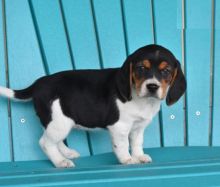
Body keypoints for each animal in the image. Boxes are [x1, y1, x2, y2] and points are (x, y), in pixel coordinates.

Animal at [0, 44, 186, 168]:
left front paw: (139, 156)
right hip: (60, 122)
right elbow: (122, 145)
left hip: (57, 122)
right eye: (141, 68)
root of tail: (38, 84)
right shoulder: (120, 127)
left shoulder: (138, 127)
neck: (142, 100)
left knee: (53, 140)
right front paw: (127, 159)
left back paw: (67, 153)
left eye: (166, 71)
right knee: (45, 142)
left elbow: (137, 143)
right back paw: (61, 161)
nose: (152, 86)